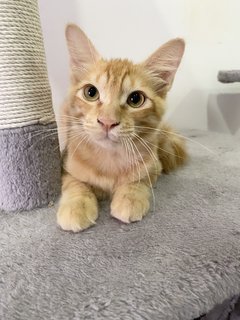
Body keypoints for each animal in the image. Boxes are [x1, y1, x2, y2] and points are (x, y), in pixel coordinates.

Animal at [56, 23, 188, 231]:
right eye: (91, 92)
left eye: (136, 99)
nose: (107, 121)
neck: (109, 159)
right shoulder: (66, 164)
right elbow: (75, 183)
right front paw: (76, 205)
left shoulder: (154, 166)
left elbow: (139, 180)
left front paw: (129, 197)